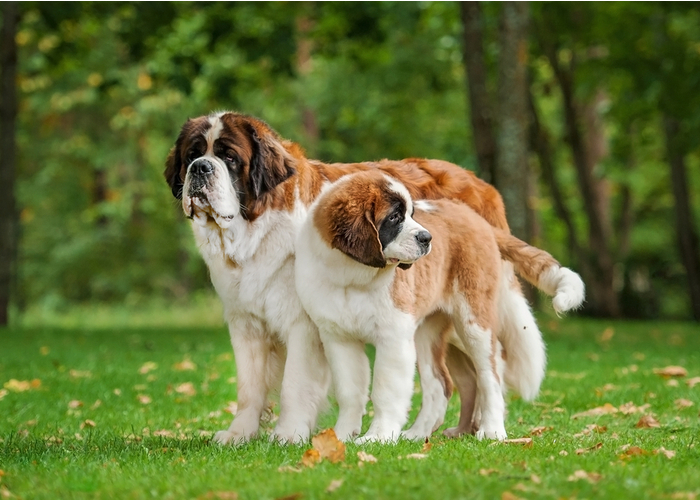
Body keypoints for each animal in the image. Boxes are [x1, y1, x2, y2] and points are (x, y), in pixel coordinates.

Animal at [296, 172, 584, 442]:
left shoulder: (393, 338)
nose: (427, 237)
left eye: (411, 215)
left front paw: (378, 437)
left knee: (489, 375)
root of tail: (477, 219)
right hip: (426, 330)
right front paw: (341, 436)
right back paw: (417, 433)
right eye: (394, 218)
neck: (353, 276)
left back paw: (491, 429)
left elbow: (385, 390)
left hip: (474, 322)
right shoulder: (339, 338)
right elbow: (349, 391)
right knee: (440, 384)